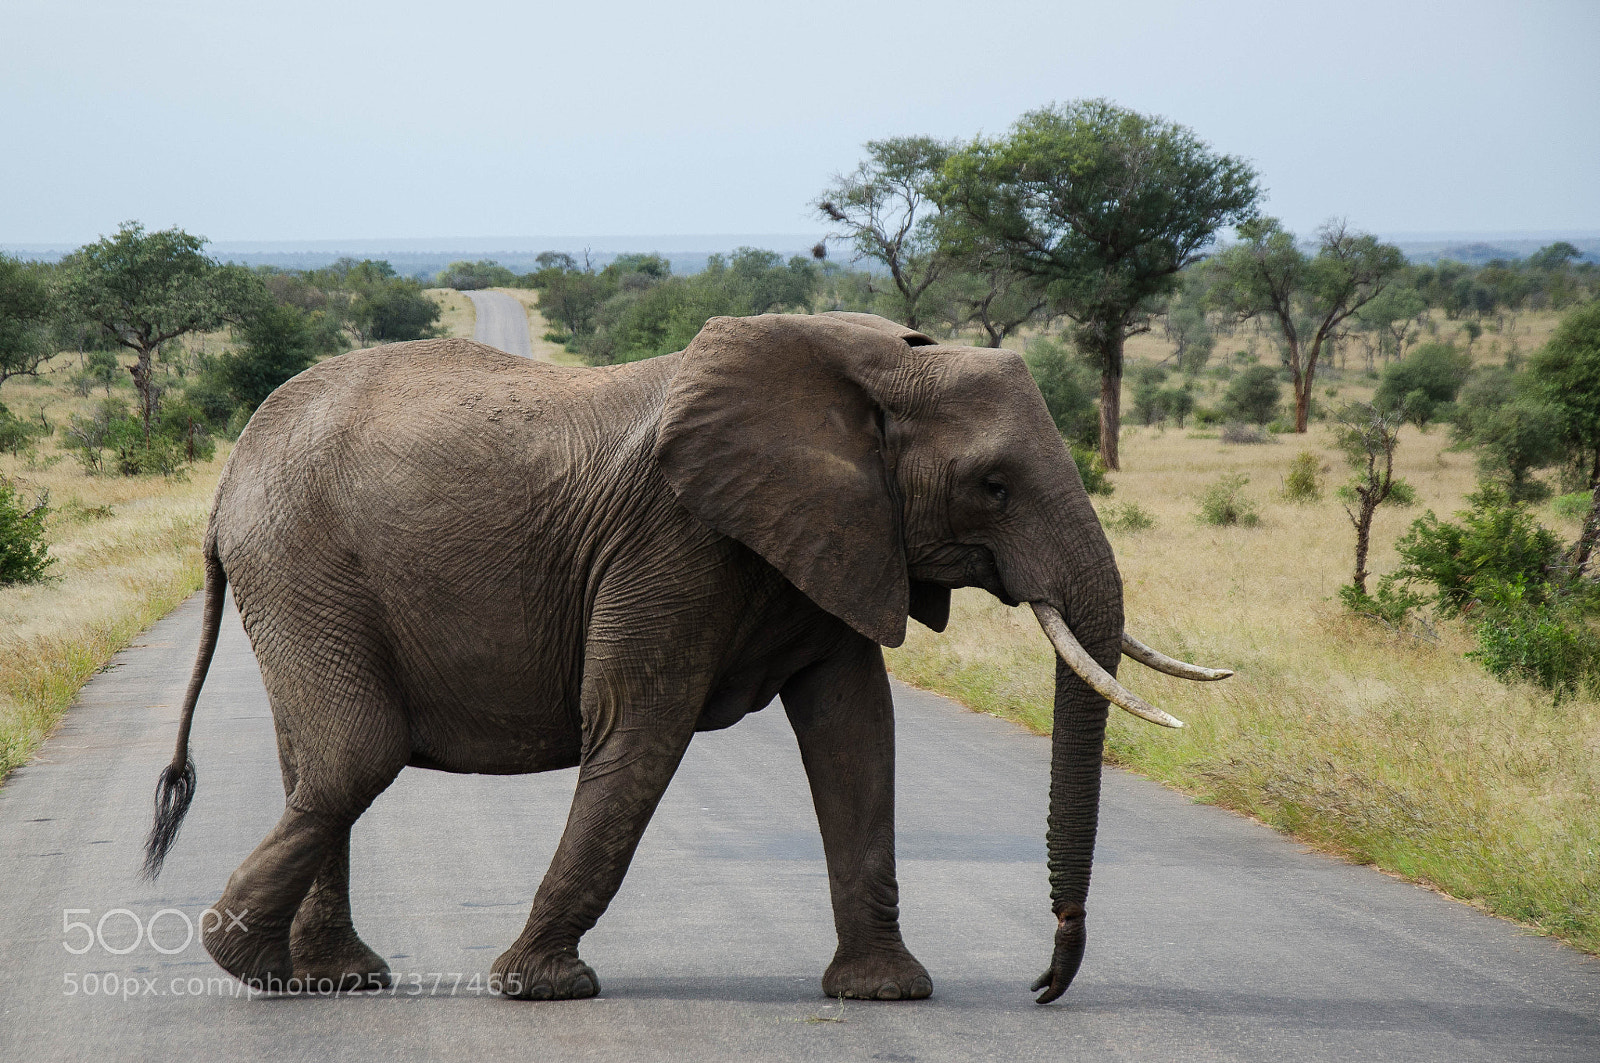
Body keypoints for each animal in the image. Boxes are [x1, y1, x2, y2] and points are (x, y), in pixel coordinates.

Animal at [143, 310, 1230, 1003]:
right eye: (993, 485)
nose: (1042, 983)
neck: (870, 371)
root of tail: (228, 481)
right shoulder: (673, 538)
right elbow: (641, 725)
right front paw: (541, 989)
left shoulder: (836, 534)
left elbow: (855, 732)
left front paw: (887, 993)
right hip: (305, 564)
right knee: (355, 753)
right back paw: (255, 969)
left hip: (302, 577)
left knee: (317, 763)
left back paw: (333, 979)